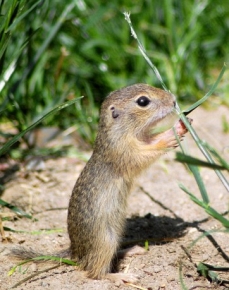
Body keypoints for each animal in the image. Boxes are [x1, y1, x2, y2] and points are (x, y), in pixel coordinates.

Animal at [67, 83, 189, 280]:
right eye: (143, 101)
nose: (173, 101)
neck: (119, 131)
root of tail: (75, 253)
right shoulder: (126, 152)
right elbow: (147, 152)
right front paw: (171, 134)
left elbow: (151, 139)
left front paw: (182, 124)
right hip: (105, 242)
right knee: (95, 273)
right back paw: (122, 277)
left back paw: (132, 250)